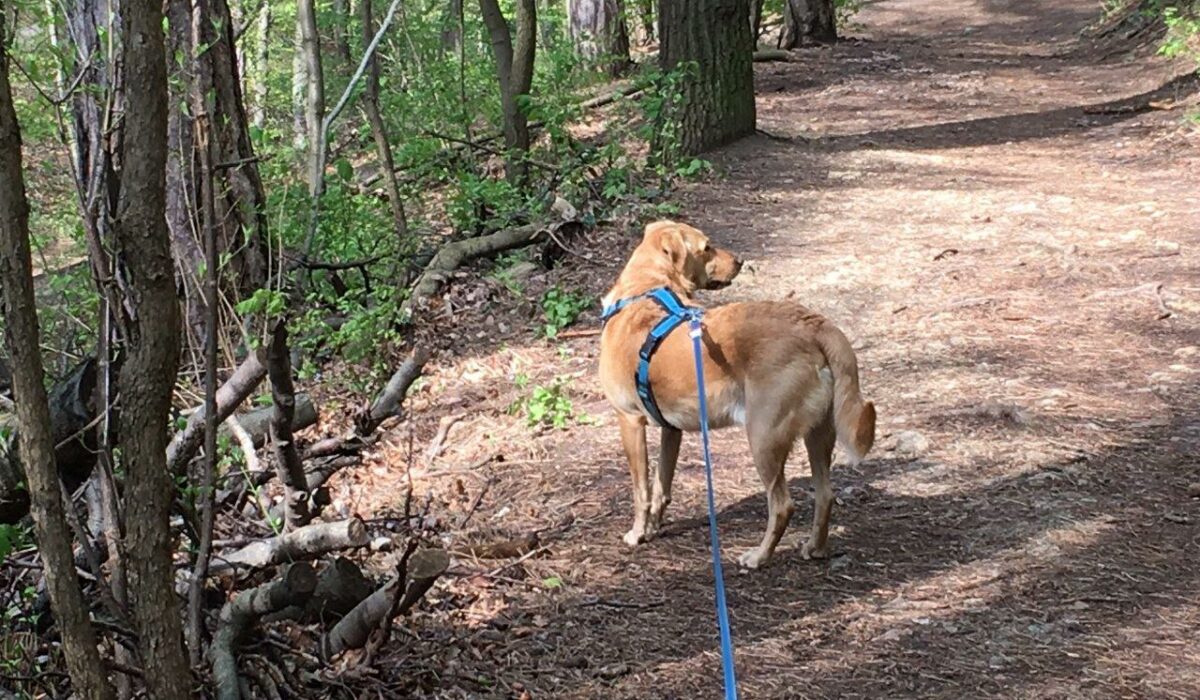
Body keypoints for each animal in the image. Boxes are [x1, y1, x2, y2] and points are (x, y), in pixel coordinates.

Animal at [597, 222, 873, 566]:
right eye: (707, 247)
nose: (741, 261)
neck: (645, 288)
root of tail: (813, 324)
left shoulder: (630, 421)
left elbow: (641, 492)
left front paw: (637, 533)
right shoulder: (671, 430)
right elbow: (662, 486)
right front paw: (654, 527)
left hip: (763, 437)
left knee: (782, 505)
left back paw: (759, 556)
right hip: (818, 434)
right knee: (825, 495)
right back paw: (815, 548)